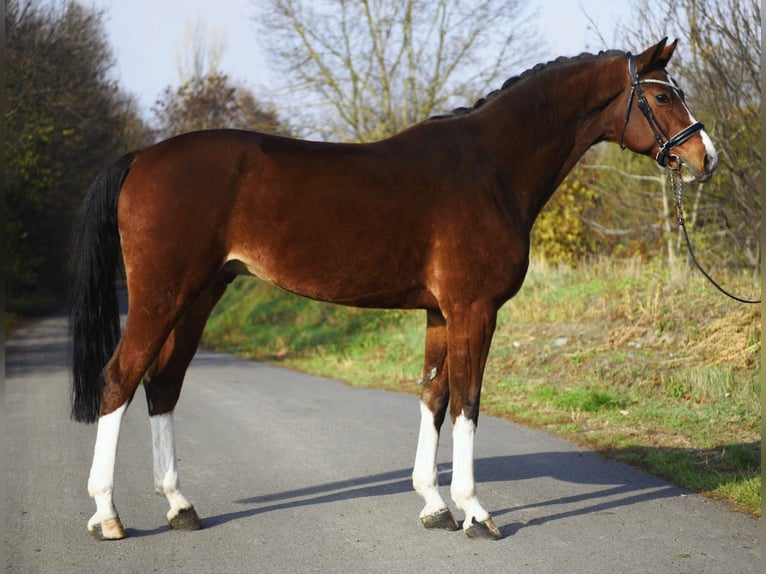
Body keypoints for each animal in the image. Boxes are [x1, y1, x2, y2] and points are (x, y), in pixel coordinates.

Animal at [69, 38, 717, 541]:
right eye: (663, 95)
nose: (704, 156)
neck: (491, 166)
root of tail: (142, 157)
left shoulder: (440, 314)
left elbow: (434, 397)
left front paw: (433, 505)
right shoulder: (474, 310)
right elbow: (469, 401)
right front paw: (474, 512)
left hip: (200, 297)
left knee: (163, 384)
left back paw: (180, 507)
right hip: (162, 295)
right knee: (119, 379)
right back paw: (107, 515)